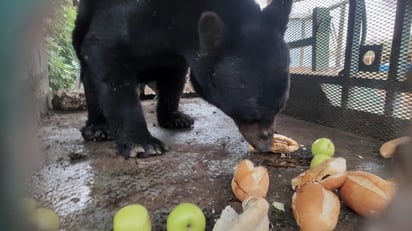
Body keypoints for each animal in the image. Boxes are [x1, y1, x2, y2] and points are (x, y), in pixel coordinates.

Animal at [73, 0, 292, 157]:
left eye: (279, 109)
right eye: (250, 116)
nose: (265, 145)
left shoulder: (175, 54)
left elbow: (175, 77)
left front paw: (175, 118)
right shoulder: (124, 15)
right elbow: (105, 52)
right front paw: (143, 144)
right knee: (89, 74)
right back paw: (97, 128)